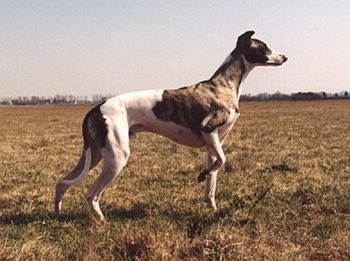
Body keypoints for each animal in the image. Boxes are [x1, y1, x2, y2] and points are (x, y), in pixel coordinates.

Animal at [54, 31, 288, 220]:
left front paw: (211, 204)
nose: (285, 57)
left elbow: (213, 176)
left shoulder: (213, 143)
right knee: (91, 194)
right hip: (117, 157)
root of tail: (97, 108)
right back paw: (102, 221)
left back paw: (57, 214)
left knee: (61, 183)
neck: (223, 85)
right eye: (264, 46)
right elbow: (222, 161)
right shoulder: (208, 129)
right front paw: (202, 175)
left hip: (94, 155)